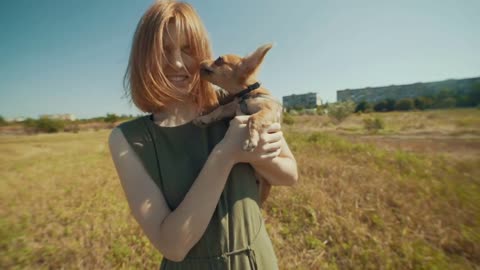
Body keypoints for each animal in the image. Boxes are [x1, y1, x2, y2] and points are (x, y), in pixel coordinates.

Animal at [192, 43, 282, 205]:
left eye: (219, 59)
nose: (200, 61)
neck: (245, 94)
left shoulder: (268, 110)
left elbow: (253, 119)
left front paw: (250, 139)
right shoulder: (232, 107)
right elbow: (219, 109)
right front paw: (204, 118)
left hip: (263, 190)